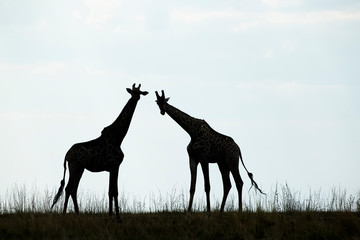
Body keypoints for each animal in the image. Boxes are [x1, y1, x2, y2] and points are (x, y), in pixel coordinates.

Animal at [51, 83, 148, 220]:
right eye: (132, 92)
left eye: (139, 92)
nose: (136, 98)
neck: (118, 137)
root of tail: (66, 155)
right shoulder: (115, 166)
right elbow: (114, 191)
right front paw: (117, 218)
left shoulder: (112, 168)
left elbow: (110, 191)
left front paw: (111, 216)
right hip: (75, 167)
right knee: (69, 188)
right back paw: (65, 214)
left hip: (79, 168)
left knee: (73, 188)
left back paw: (77, 213)